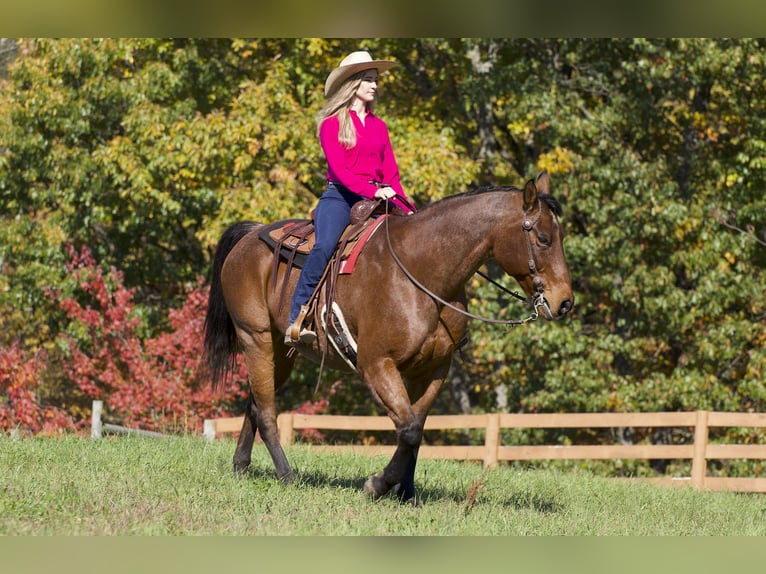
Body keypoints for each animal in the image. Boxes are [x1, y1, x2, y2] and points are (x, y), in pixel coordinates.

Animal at [204, 170, 576, 504]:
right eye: (543, 238)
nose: (565, 302)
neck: (421, 271)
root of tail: (251, 234)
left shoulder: (432, 370)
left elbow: (417, 428)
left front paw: (406, 492)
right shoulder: (376, 365)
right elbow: (408, 429)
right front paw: (378, 484)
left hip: (281, 353)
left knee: (255, 402)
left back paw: (241, 466)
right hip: (256, 339)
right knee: (267, 411)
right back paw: (286, 474)